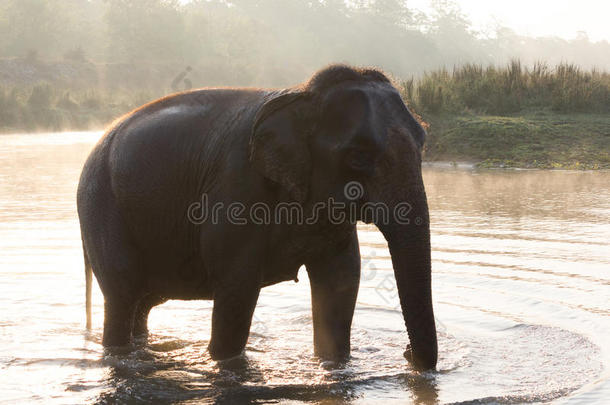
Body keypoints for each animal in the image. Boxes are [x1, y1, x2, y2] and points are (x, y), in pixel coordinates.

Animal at [77, 64, 436, 370]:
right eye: (359, 156)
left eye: (423, 143)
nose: (406, 353)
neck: (302, 95)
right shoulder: (236, 187)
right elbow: (238, 284)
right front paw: (226, 366)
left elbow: (342, 277)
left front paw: (333, 364)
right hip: (101, 205)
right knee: (122, 295)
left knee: (141, 306)